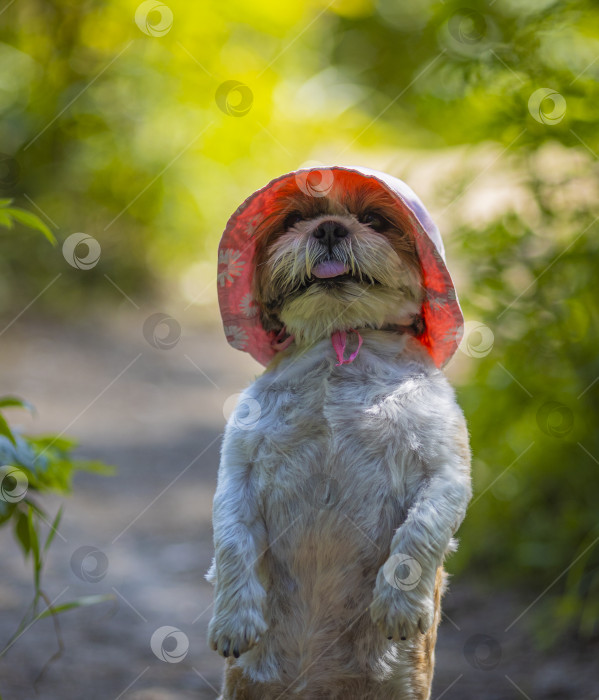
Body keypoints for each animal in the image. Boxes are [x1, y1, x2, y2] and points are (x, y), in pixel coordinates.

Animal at [209, 167, 472, 696]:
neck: (340, 339)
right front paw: (232, 620)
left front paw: (397, 606)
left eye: (374, 219)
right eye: (293, 220)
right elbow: (231, 540)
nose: (329, 227)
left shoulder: (446, 472)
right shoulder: (237, 472)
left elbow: (419, 531)